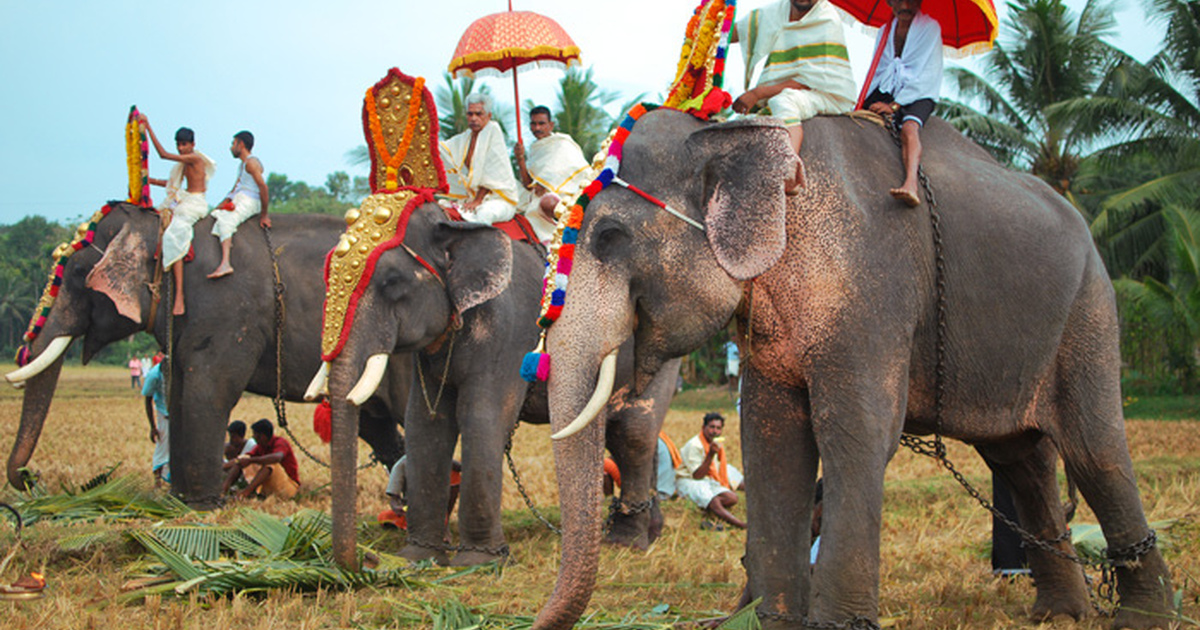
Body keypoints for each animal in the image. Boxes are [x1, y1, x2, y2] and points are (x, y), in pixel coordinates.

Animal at [3, 204, 412, 508]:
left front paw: (202, 507)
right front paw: (178, 502)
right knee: (377, 426)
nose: (34, 478)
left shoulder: (226, 311)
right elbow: (178, 394)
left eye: (76, 272)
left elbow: (210, 391)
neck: (166, 229)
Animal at [532, 109, 1171, 628]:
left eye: (610, 237)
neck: (741, 132)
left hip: (1089, 308)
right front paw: (771, 622)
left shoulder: (868, 289)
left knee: (1094, 449)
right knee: (1021, 458)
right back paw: (1058, 614)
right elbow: (771, 440)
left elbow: (856, 435)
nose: (534, 620)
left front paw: (833, 623)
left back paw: (1143, 619)